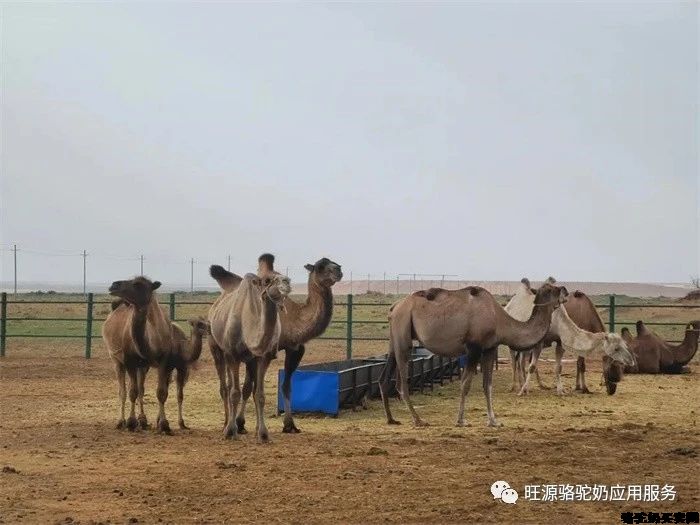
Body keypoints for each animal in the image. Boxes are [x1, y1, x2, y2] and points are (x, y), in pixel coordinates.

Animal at [102, 276, 205, 432]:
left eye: (138, 284)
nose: (114, 285)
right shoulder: (130, 361)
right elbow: (132, 392)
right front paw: (131, 422)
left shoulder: (164, 362)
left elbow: (161, 392)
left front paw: (163, 424)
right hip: (116, 360)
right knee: (123, 391)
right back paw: (121, 421)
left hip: (143, 366)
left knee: (141, 389)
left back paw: (143, 421)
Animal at [206, 254, 292, 442]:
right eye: (267, 280)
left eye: (280, 273)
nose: (287, 282)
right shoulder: (232, 355)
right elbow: (234, 393)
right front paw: (231, 431)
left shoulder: (263, 357)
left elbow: (259, 394)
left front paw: (263, 434)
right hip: (217, 348)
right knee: (225, 388)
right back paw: (226, 424)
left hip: (246, 360)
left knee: (241, 387)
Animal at [215, 255, 344, 434]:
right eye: (320, 267)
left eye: (335, 263)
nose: (339, 270)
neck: (293, 319)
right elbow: (250, 387)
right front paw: (241, 423)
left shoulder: (295, 348)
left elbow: (286, 386)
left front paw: (289, 425)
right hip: (219, 347)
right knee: (227, 384)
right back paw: (228, 423)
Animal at [378, 282, 568, 426]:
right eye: (553, 289)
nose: (565, 290)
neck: (500, 320)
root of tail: (394, 307)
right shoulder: (473, 348)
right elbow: (466, 383)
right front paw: (461, 420)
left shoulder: (489, 348)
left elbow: (487, 385)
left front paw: (493, 421)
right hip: (403, 333)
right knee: (402, 382)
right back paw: (418, 420)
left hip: (394, 336)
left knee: (384, 378)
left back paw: (391, 419)